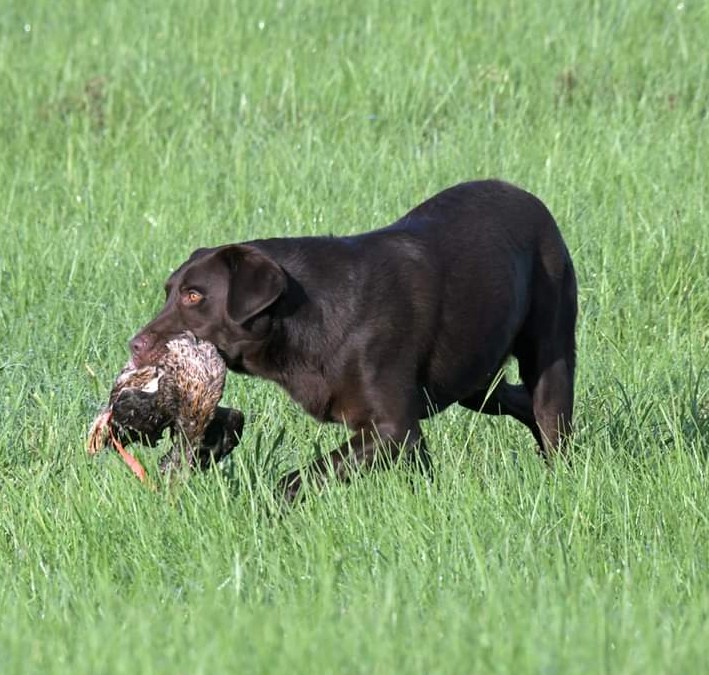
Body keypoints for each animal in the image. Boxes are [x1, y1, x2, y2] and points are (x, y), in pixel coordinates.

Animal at [130, 181, 580, 502]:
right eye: (169, 291)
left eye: (194, 296)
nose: (135, 345)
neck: (304, 318)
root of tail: (533, 201)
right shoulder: (405, 429)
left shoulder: (392, 428)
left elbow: (297, 479)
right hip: (474, 377)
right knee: (519, 402)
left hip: (548, 354)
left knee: (551, 417)